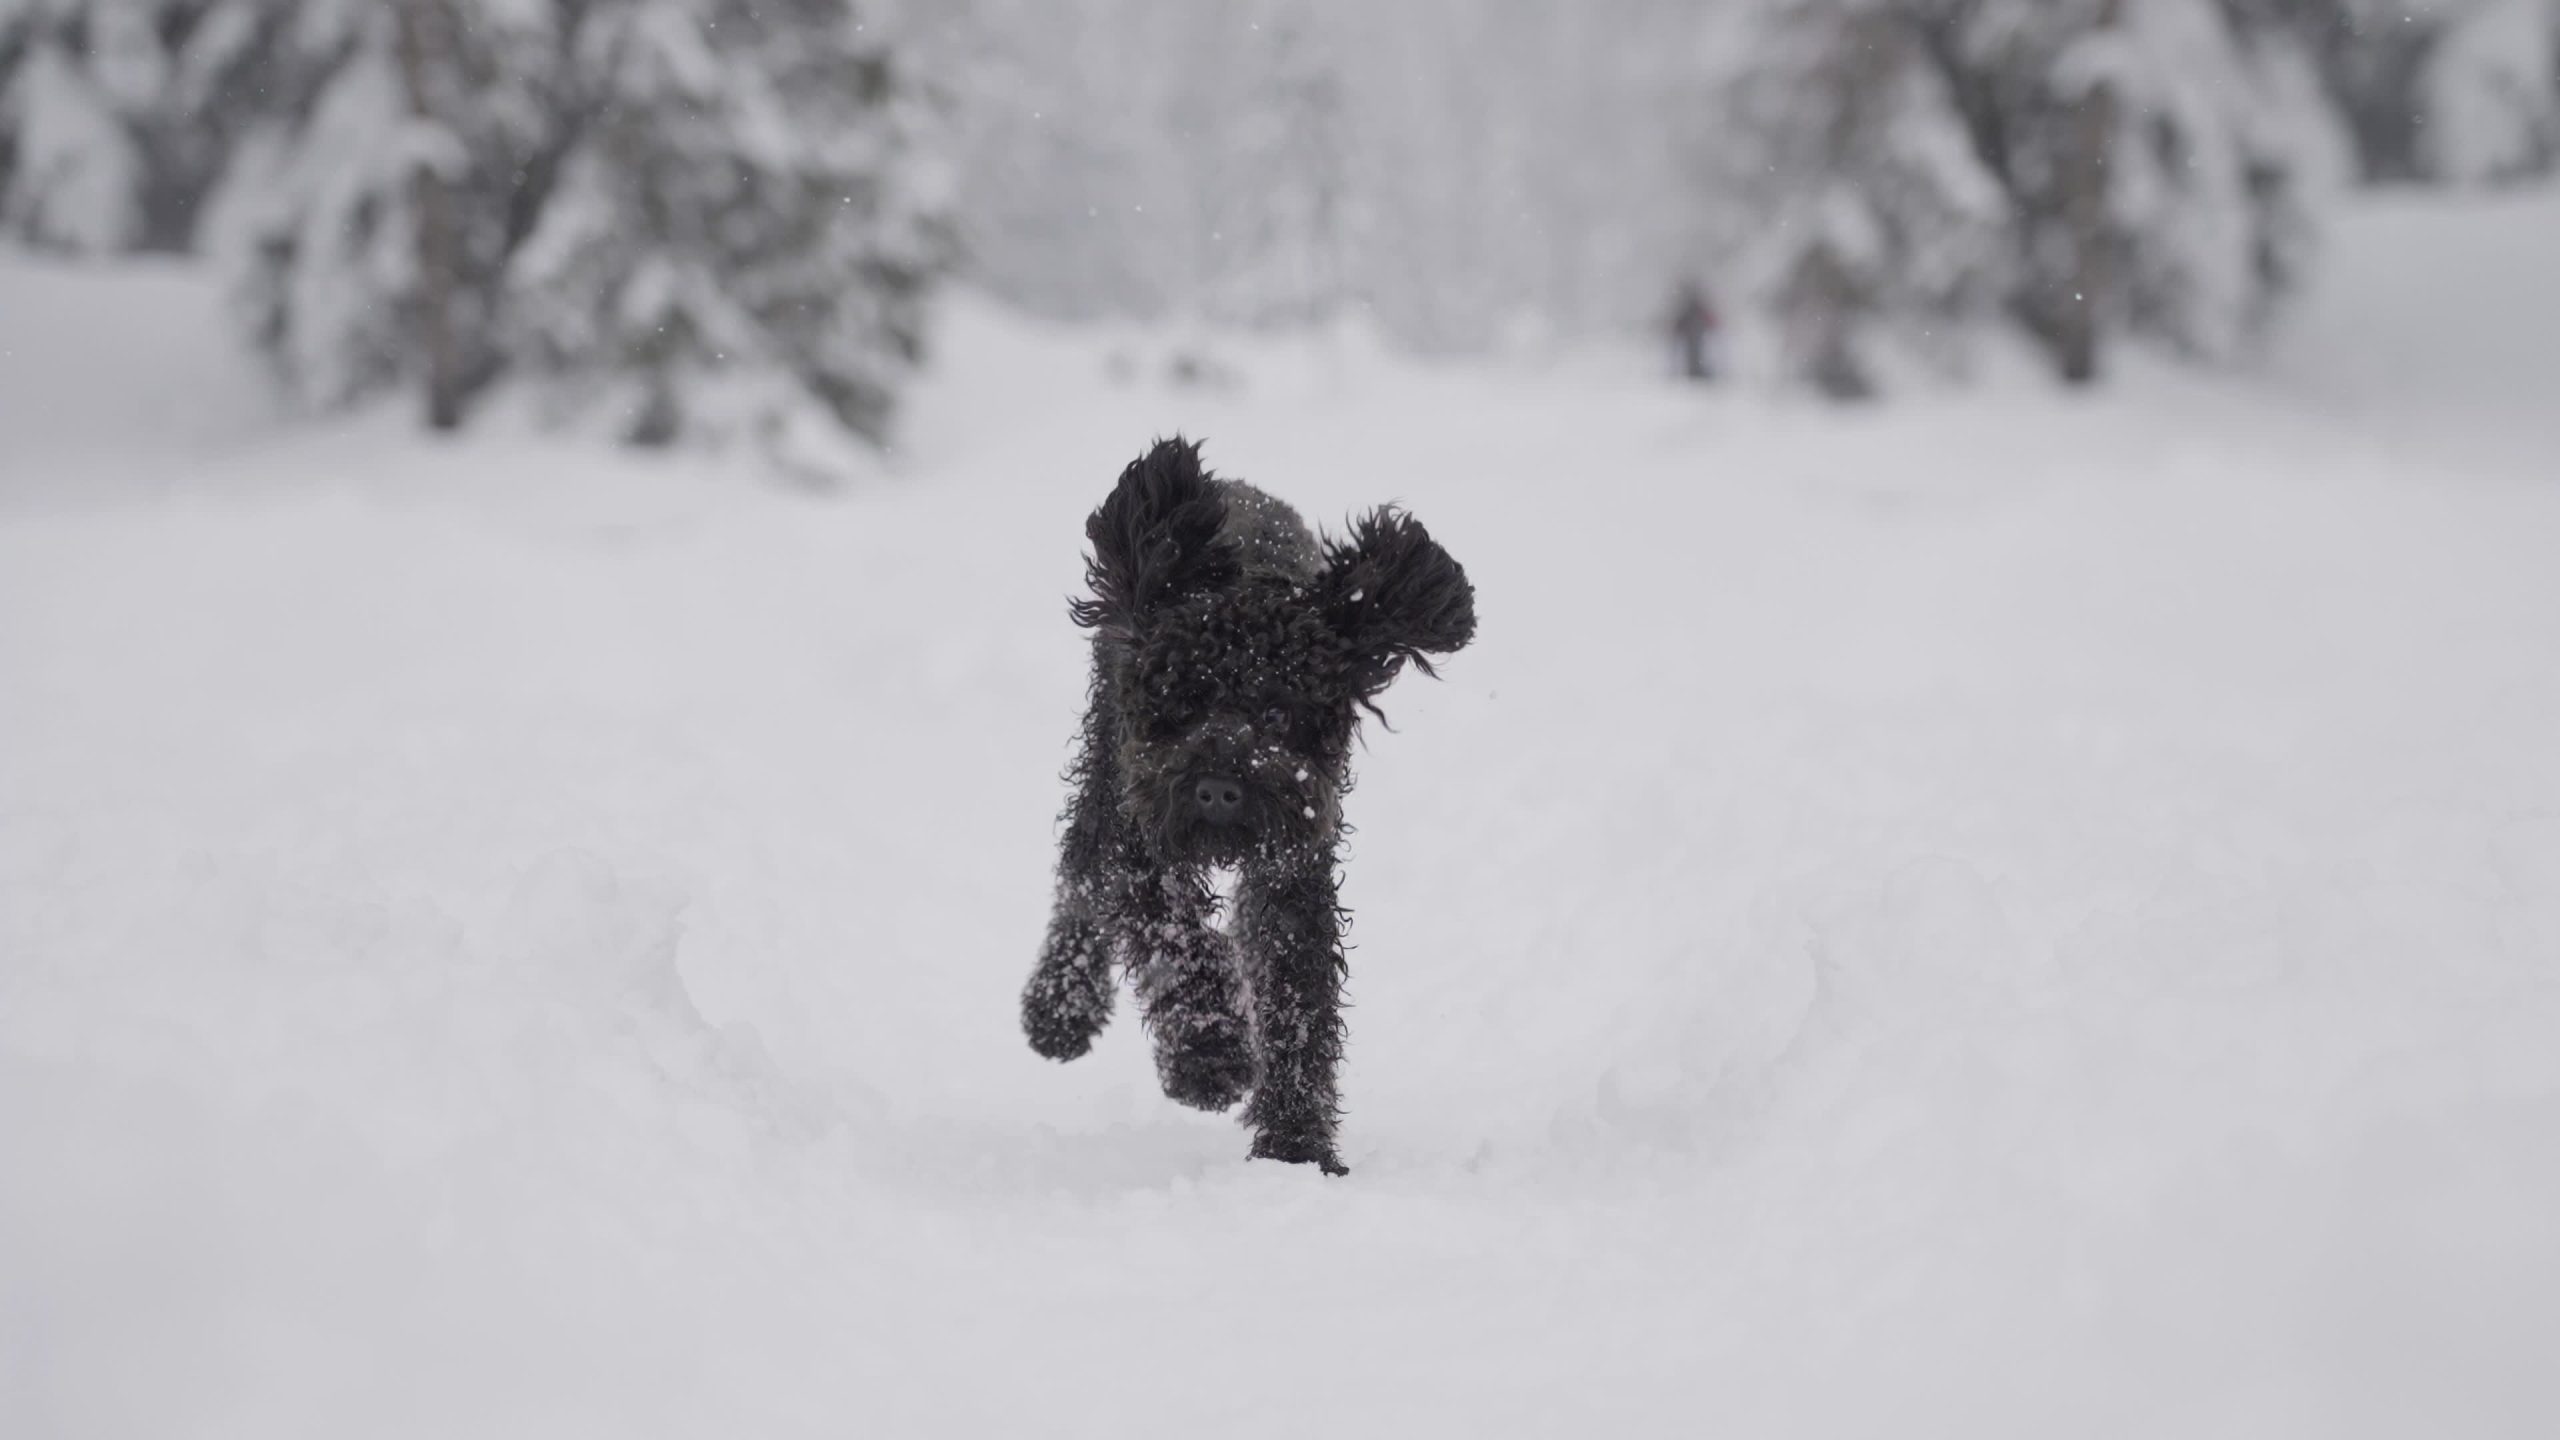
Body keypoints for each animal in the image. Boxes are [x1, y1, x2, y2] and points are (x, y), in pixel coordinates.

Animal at [1013, 435, 1474, 1168]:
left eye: (1280, 712)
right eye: (1181, 701)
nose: (1221, 785)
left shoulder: (1293, 866)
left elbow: (1297, 996)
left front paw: (1295, 1142)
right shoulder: (1142, 839)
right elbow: (1173, 938)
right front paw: (1210, 1055)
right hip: (1106, 776)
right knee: (1079, 875)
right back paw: (1059, 1009)